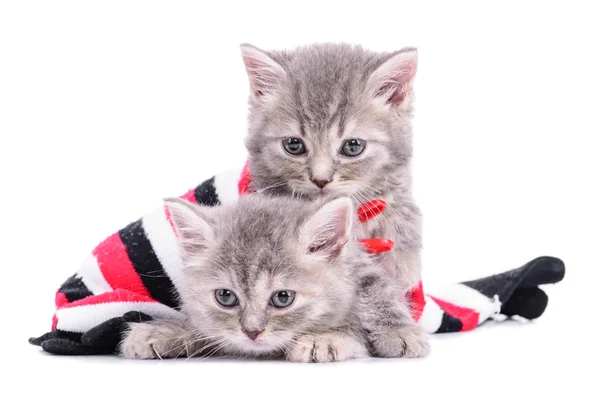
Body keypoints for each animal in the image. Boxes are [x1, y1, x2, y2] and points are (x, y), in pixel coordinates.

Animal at [119, 195, 428, 362]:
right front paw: (166, 331)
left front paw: (326, 338)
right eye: (225, 297)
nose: (252, 332)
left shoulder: (362, 273)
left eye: (283, 298)